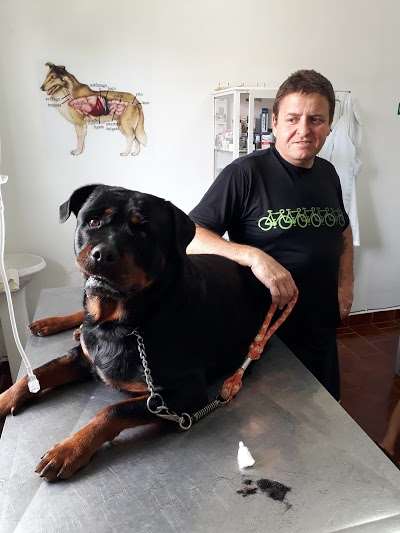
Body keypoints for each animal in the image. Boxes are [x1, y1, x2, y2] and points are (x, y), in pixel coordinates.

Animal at [0, 185, 270, 481]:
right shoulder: (84, 356)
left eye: (143, 231)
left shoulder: (184, 394)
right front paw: (3, 399)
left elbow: (113, 410)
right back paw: (53, 324)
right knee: (81, 316)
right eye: (93, 221)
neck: (123, 323)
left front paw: (69, 449)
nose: (103, 253)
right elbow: (33, 376)